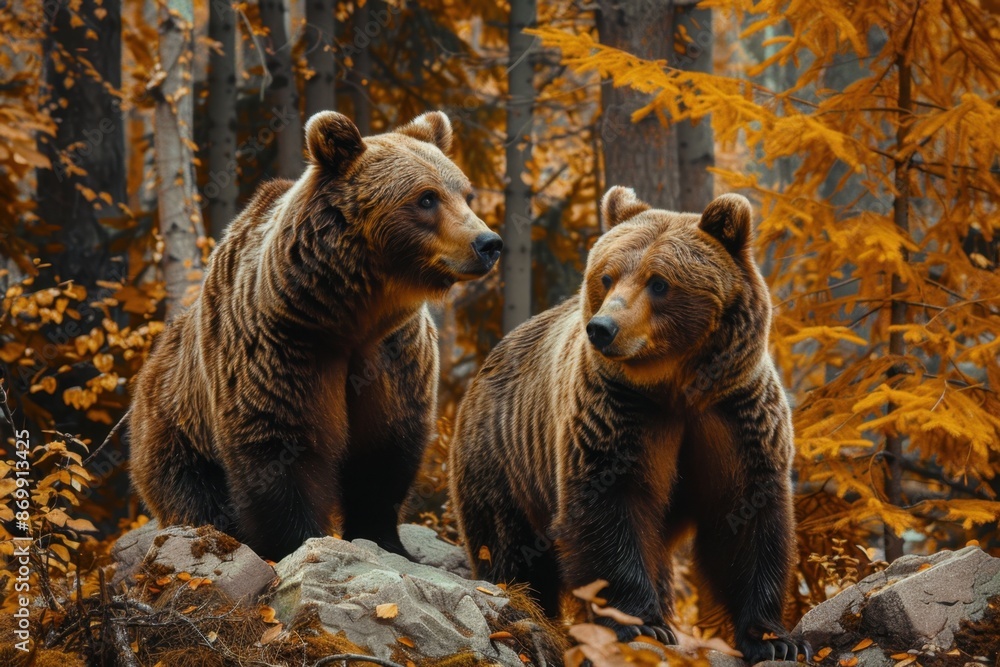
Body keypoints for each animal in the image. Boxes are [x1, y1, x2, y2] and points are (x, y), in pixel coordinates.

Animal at [130, 111, 502, 562]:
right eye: (426, 198)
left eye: (465, 194)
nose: (488, 243)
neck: (350, 313)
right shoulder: (284, 345)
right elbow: (281, 443)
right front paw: (299, 541)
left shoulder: (395, 352)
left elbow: (385, 450)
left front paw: (385, 540)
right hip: (177, 426)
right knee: (192, 493)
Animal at [448, 186, 806, 663]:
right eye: (607, 276)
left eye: (659, 282)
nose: (603, 327)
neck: (677, 387)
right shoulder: (617, 411)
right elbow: (611, 506)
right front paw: (640, 622)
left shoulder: (733, 414)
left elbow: (746, 516)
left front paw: (773, 639)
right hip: (504, 456)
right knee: (509, 544)